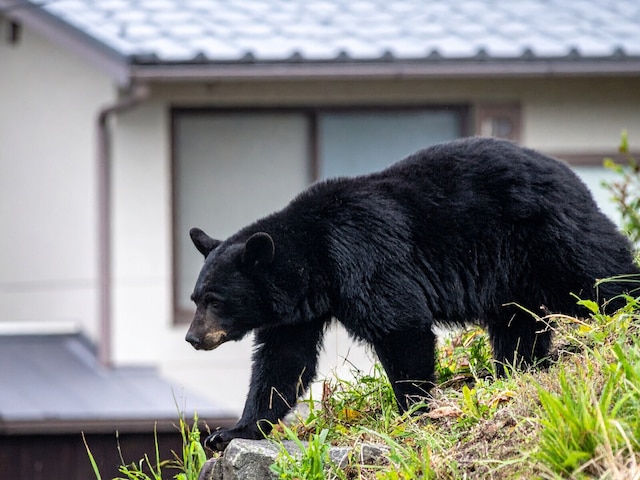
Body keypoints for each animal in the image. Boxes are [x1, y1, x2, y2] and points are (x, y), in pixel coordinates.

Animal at [185, 136, 638, 451]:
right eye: (196, 299)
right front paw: (230, 432)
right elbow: (283, 362)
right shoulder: (297, 311)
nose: (192, 337)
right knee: (517, 321)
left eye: (215, 300)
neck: (315, 261)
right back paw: (517, 368)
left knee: (598, 273)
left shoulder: (366, 257)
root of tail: (569, 172)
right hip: (513, 271)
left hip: (546, 234)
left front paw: (413, 411)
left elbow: (400, 326)